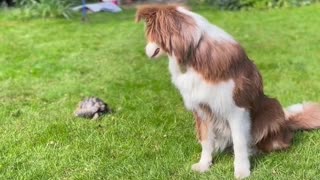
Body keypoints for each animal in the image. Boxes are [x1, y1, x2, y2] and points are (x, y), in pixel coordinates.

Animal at [136, 4, 320, 179]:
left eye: (150, 34)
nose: (145, 51)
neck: (194, 54)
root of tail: (287, 124)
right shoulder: (202, 108)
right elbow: (205, 140)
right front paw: (204, 165)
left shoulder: (237, 109)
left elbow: (239, 142)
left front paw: (242, 171)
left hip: (272, 106)